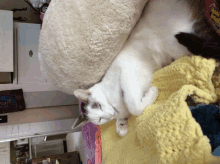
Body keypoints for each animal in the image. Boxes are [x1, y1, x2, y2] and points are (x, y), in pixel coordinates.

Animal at [72, 0, 217, 136]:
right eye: (100, 119)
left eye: (99, 106)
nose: (110, 115)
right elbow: (124, 119)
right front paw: (121, 126)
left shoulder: (126, 74)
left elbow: (134, 107)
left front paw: (152, 92)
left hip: (177, 45)